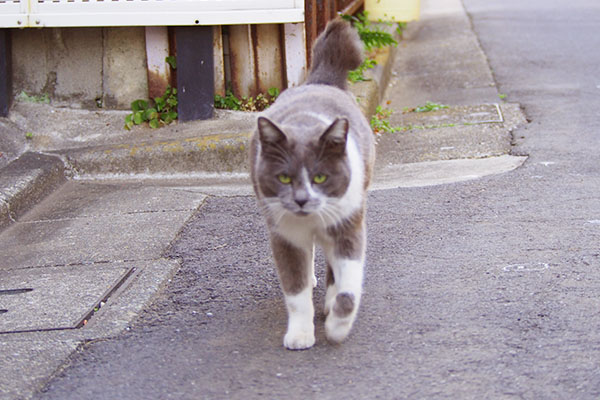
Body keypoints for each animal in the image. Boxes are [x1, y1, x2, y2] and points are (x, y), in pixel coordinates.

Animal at [250, 18, 376, 350]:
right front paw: (300, 335)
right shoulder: (285, 236)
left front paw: (337, 327)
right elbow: (296, 292)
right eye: (284, 177)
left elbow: (348, 288)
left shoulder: (348, 225)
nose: (302, 199)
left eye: (320, 176)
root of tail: (321, 81)